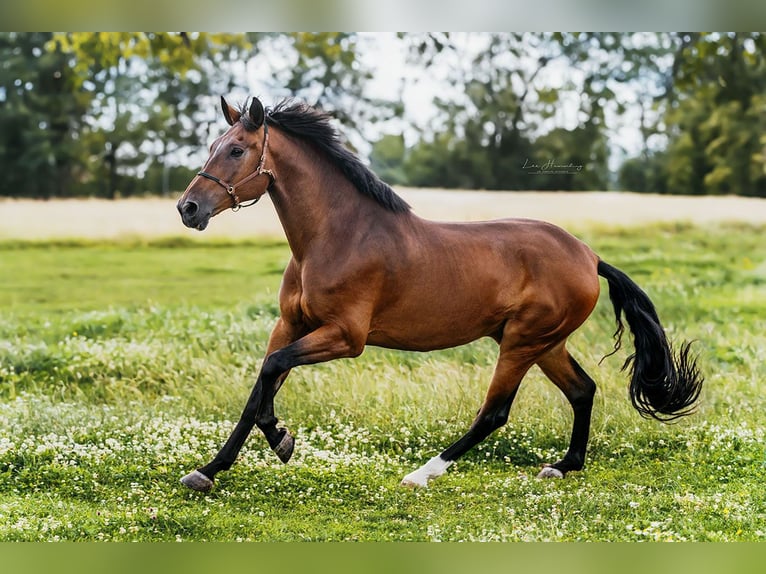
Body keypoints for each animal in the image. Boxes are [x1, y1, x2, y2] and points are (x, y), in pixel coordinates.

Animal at [177, 97, 704, 492]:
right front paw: (209, 470)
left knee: (494, 413)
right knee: (583, 390)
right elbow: (260, 386)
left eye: (237, 150)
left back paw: (422, 473)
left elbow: (271, 370)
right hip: (543, 343)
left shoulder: (345, 337)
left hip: (523, 342)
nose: (188, 208)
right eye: (213, 145)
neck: (336, 236)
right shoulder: (290, 325)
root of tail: (589, 256)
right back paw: (562, 465)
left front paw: (281, 440)